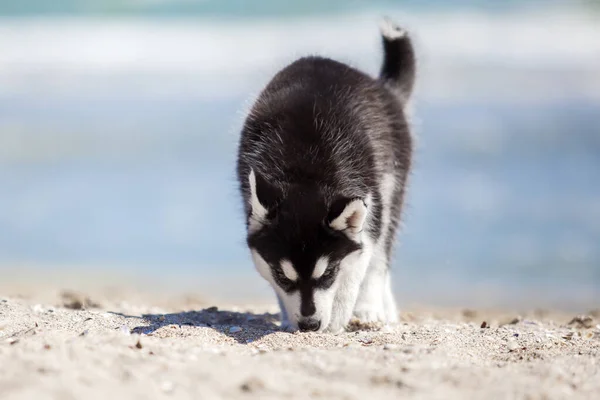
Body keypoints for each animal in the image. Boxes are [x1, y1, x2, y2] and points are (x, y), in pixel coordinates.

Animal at [237, 18, 414, 332]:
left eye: (328, 273)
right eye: (283, 276)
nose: (309, 325)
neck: (305, 171)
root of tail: (382, 88)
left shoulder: (367, 208)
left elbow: (356, 270)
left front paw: (339, 317)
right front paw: (288, 316)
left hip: (391, 186)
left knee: (380, 259)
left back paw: (371, 309)